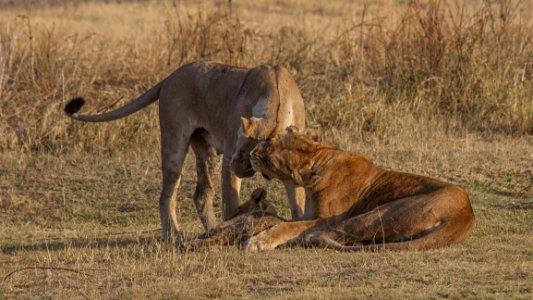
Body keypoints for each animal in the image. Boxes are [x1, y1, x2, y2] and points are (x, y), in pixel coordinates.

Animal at [63, 61, 304, 241]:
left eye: (248, 154)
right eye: (238, 149)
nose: (237, 167)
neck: (276, 107)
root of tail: (172, 75)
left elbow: (298, 200)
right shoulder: (228, 154)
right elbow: (230, 203)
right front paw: (231, 229)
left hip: (206, 152)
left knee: (201, 195)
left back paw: (209, 229)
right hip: (174, 142)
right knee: (166, 195)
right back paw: (174, 236)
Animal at [245, 127, 474, 251]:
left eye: (270, 161)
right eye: (269, 140)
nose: (251, 153)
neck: (318, 156)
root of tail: (466, 214)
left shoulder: (325, 219)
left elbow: (288, 227)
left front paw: (259, 241)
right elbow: (283, 221)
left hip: (381, 213)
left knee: (328, 235)